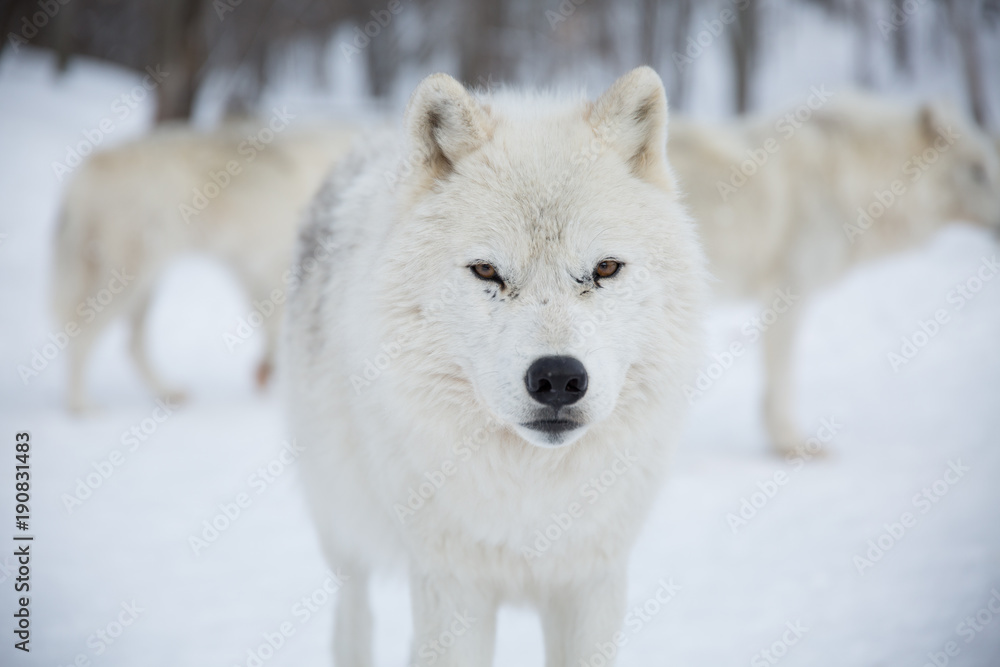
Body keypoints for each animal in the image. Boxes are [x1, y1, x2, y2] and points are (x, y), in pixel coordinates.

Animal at [53, 121, 354, 411]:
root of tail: (87, 171)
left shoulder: (256, 272)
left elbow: (272, 332)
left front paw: (267, 375)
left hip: (144, 285)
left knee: (130, 345)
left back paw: (168, 391)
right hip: (127, 284)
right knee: (81, 338)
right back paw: (81, 407)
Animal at [284, 68, 707, 666]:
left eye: (605, 268)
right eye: (486, 271)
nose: (558, 378)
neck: (531, 496)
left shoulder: (592, 581)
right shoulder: (451, 585)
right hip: (340, 515)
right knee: (352, 609)